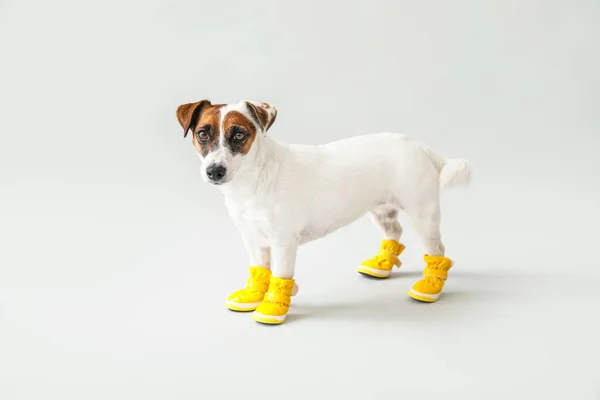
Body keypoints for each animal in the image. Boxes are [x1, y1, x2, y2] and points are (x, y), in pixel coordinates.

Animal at [176, 100, 472, 324]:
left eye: (238, 135)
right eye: (203, 133)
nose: (214, 171)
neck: (253, 181)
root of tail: (420, 146)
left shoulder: (283, 242)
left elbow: (280, 275)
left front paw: (274, 305)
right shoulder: (253, 239)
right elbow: (260, 270)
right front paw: (254, 295)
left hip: (423, 215)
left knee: (437, 250)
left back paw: (430, 285)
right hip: (381, 209)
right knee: (395, 231)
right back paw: (381, 265)